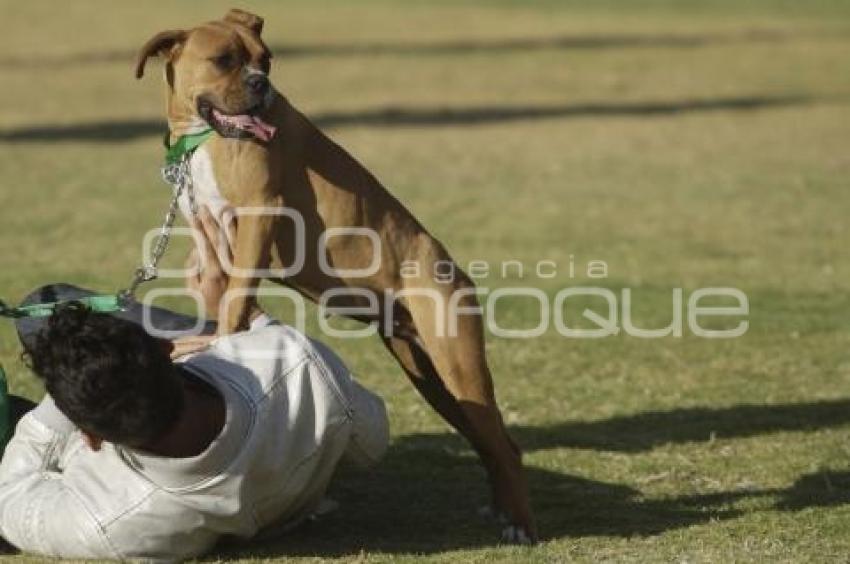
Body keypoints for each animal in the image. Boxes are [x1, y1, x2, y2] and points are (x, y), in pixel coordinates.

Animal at [137, 8, 536, 540]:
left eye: (266, 60)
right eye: (223, 60)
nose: (261, 83)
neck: (200, 135)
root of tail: (455, 274)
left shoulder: (260, 216)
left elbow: (236, 300)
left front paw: (223, 345)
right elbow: (227, 293)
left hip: (459, 367)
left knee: (504, 446)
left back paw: (520, 524)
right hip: (432, 380)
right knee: (490, 441)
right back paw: (501, 510)